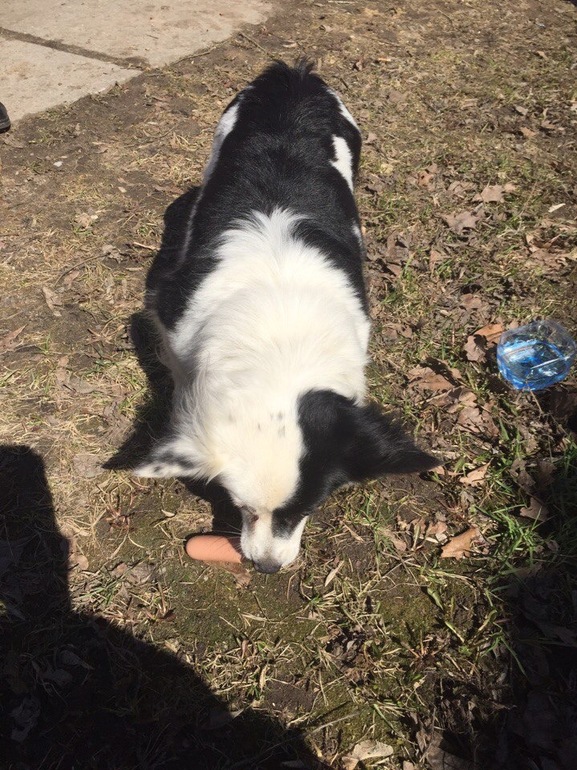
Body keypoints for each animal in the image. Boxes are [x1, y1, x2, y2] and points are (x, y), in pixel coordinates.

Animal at [134, 61, 437, 573]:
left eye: (310, 508)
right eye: (241, 507)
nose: (267, 568)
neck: (280, 341)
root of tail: (292, 76)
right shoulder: (171, 318)